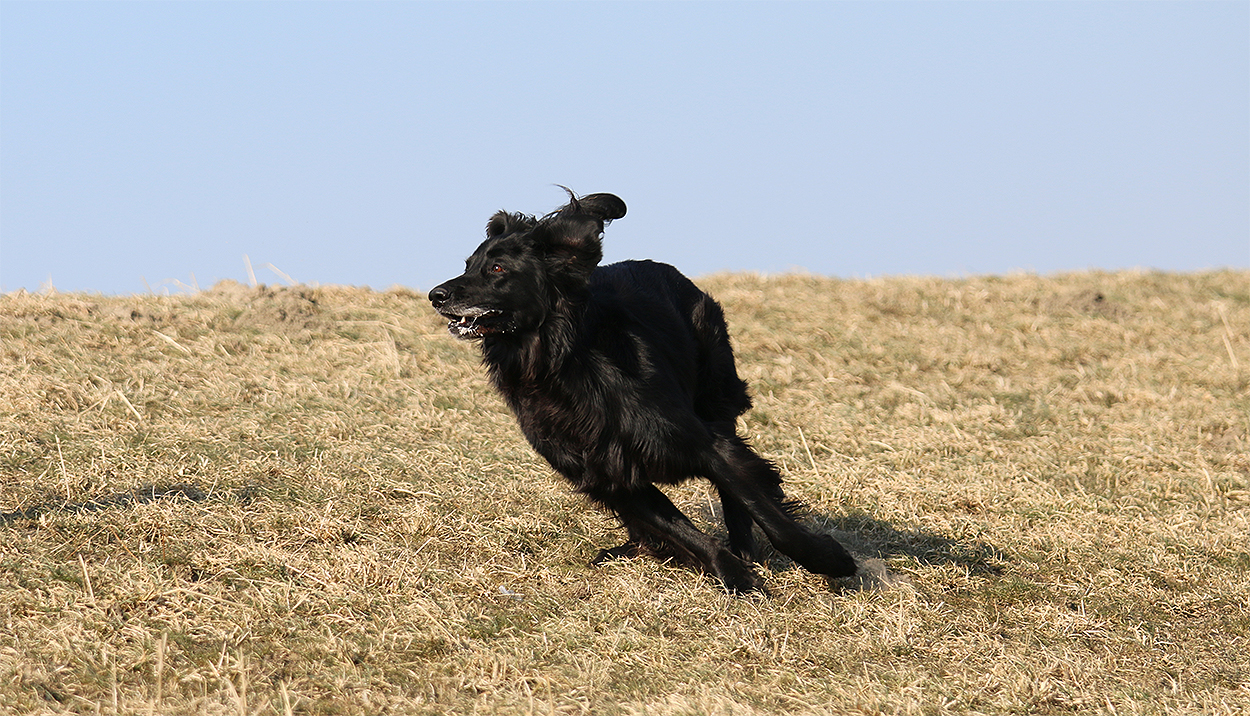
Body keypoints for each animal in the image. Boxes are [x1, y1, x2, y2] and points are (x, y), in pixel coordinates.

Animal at [428, 190, 856, 593]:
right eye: (467, 265)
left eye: (497, 268)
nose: (436, 295)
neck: (561, 364)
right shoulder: (610, 474)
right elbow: (683, 531)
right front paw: (733, 576)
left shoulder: (698, 443)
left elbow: (766, 510)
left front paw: (831, 560)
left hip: (715, 395)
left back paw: (742, 545)